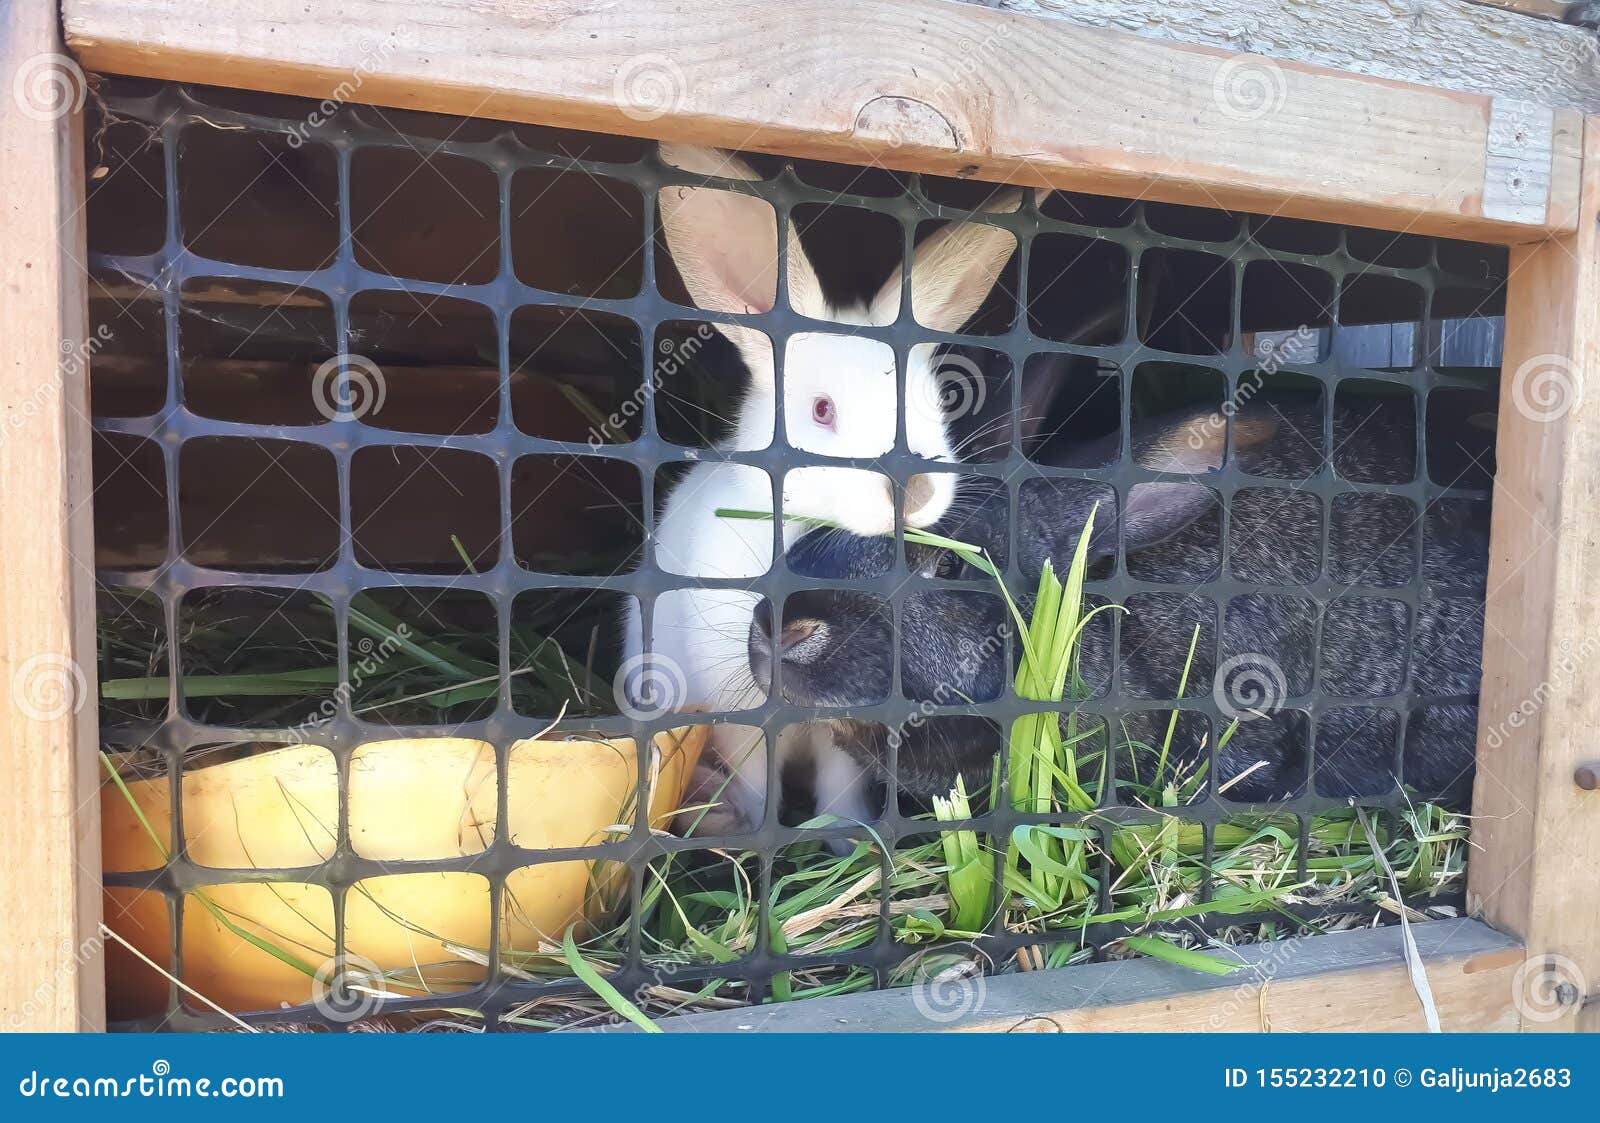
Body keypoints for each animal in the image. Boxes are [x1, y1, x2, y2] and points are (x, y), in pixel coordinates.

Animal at [621, 143, 1020, 838]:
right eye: (822, 410)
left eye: (938, 401)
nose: (914, 490)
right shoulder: (741, 715)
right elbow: (757, 779)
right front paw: (755, 829)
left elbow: (841, 784)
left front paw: (843, 835)